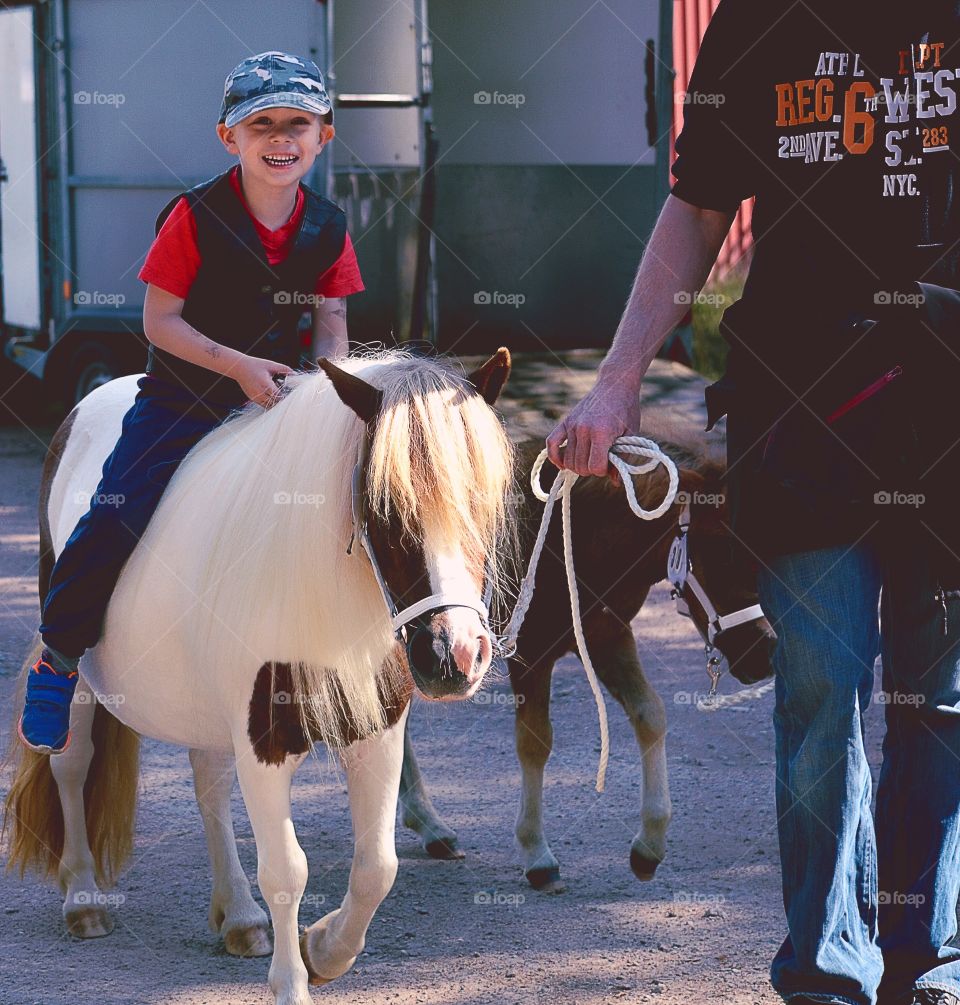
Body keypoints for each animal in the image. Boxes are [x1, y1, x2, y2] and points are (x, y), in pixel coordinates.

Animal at [3, 349, 518, 1005]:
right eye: (384, 507)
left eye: (484, 499)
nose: (455, 655)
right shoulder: (263, 743)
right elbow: (287, 870)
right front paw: (295, 981)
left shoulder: (376, 733)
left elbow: (377, 866)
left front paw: (324, 950)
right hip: (83, 671)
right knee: (71, 761)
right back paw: (83, 896)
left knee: (208, 784)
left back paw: (240, 916)